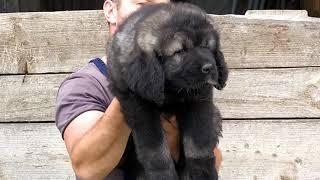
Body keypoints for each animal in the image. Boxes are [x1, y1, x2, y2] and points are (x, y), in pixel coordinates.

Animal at [107, 2, 228, 180]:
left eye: (206, 46)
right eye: (180, 51)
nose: (209, 67)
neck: (171, 90)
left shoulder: (199, 101)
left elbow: (198, 143)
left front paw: (203, 172)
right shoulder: (139, 105)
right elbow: (155, 148)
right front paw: (162, 174)